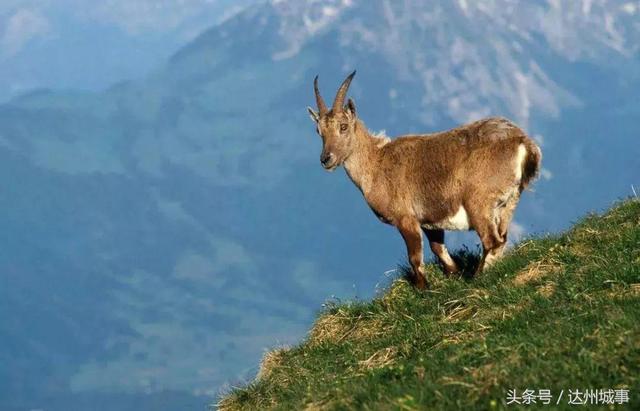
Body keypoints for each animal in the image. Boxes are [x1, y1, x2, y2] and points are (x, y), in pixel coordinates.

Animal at [304, 71, 540, 290]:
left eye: (343, 126)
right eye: (319, 131)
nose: (326, 159)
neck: (377, 164)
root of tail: (522, 142)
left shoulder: (406, 219)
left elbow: (415, 259)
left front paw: (423, 290)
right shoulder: (430, 221)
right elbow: (439, 250)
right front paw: (453, 276)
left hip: (478, 203)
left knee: (492, 241)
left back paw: (479, 277)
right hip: (508, 203)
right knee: (501, 238)